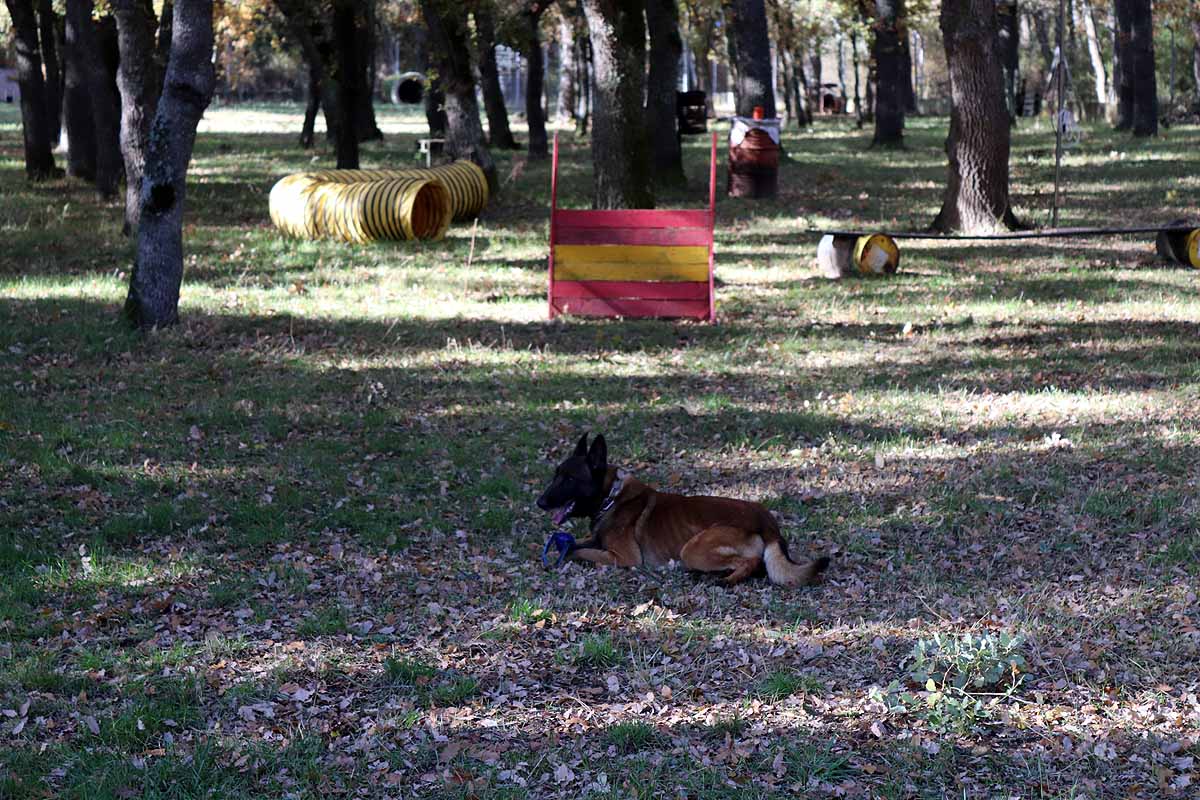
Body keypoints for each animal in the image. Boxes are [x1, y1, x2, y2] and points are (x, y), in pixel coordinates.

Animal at [540, 434, 830, 585]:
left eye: (569, 479)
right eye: (556, 475)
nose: (539, 502)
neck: (611, 496)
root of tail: (767, 522)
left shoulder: (623, 557)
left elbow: (578, 551)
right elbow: (577, 543)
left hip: (693, 549)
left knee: (753, 562)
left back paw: (726, 579)